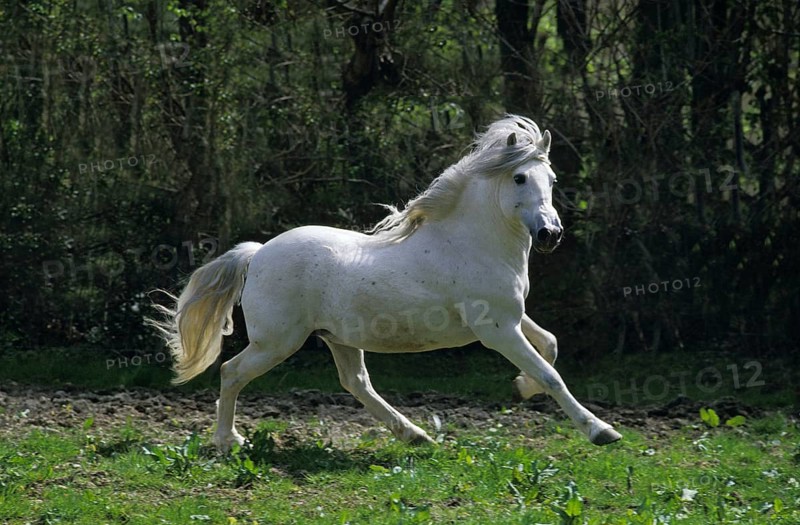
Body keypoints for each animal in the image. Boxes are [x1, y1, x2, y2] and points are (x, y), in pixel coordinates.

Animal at [148, 114, 622, 452]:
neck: (471, 242)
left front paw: (521, 388)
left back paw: (416, 435)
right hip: (277, 341)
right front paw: (601, 431)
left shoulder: (511, 318)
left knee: (356, 383)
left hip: (337, 338)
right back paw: (229, 442)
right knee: (231, 371)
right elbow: (551, 374)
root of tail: (258, 253)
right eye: (520, 178)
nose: (550, 234)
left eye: (553, 180)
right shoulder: (496, 329)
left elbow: (550, 347)